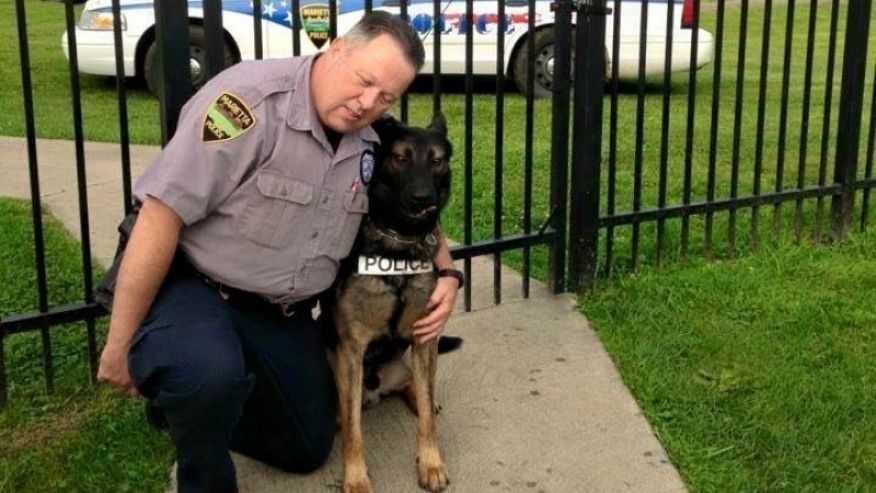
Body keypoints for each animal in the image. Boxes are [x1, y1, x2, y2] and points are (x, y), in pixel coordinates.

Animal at [326, 112, 456, 492]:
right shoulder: (351, 349)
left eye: (436, 160)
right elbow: (354, 431)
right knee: (346, 411)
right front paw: (356, 478)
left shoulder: (425, 339)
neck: (399, 243)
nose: (422, 199)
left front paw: (431, 462)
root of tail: (376, 387)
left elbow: (427, 418)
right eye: (400, 158)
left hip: (406, 363)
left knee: (416, 386)